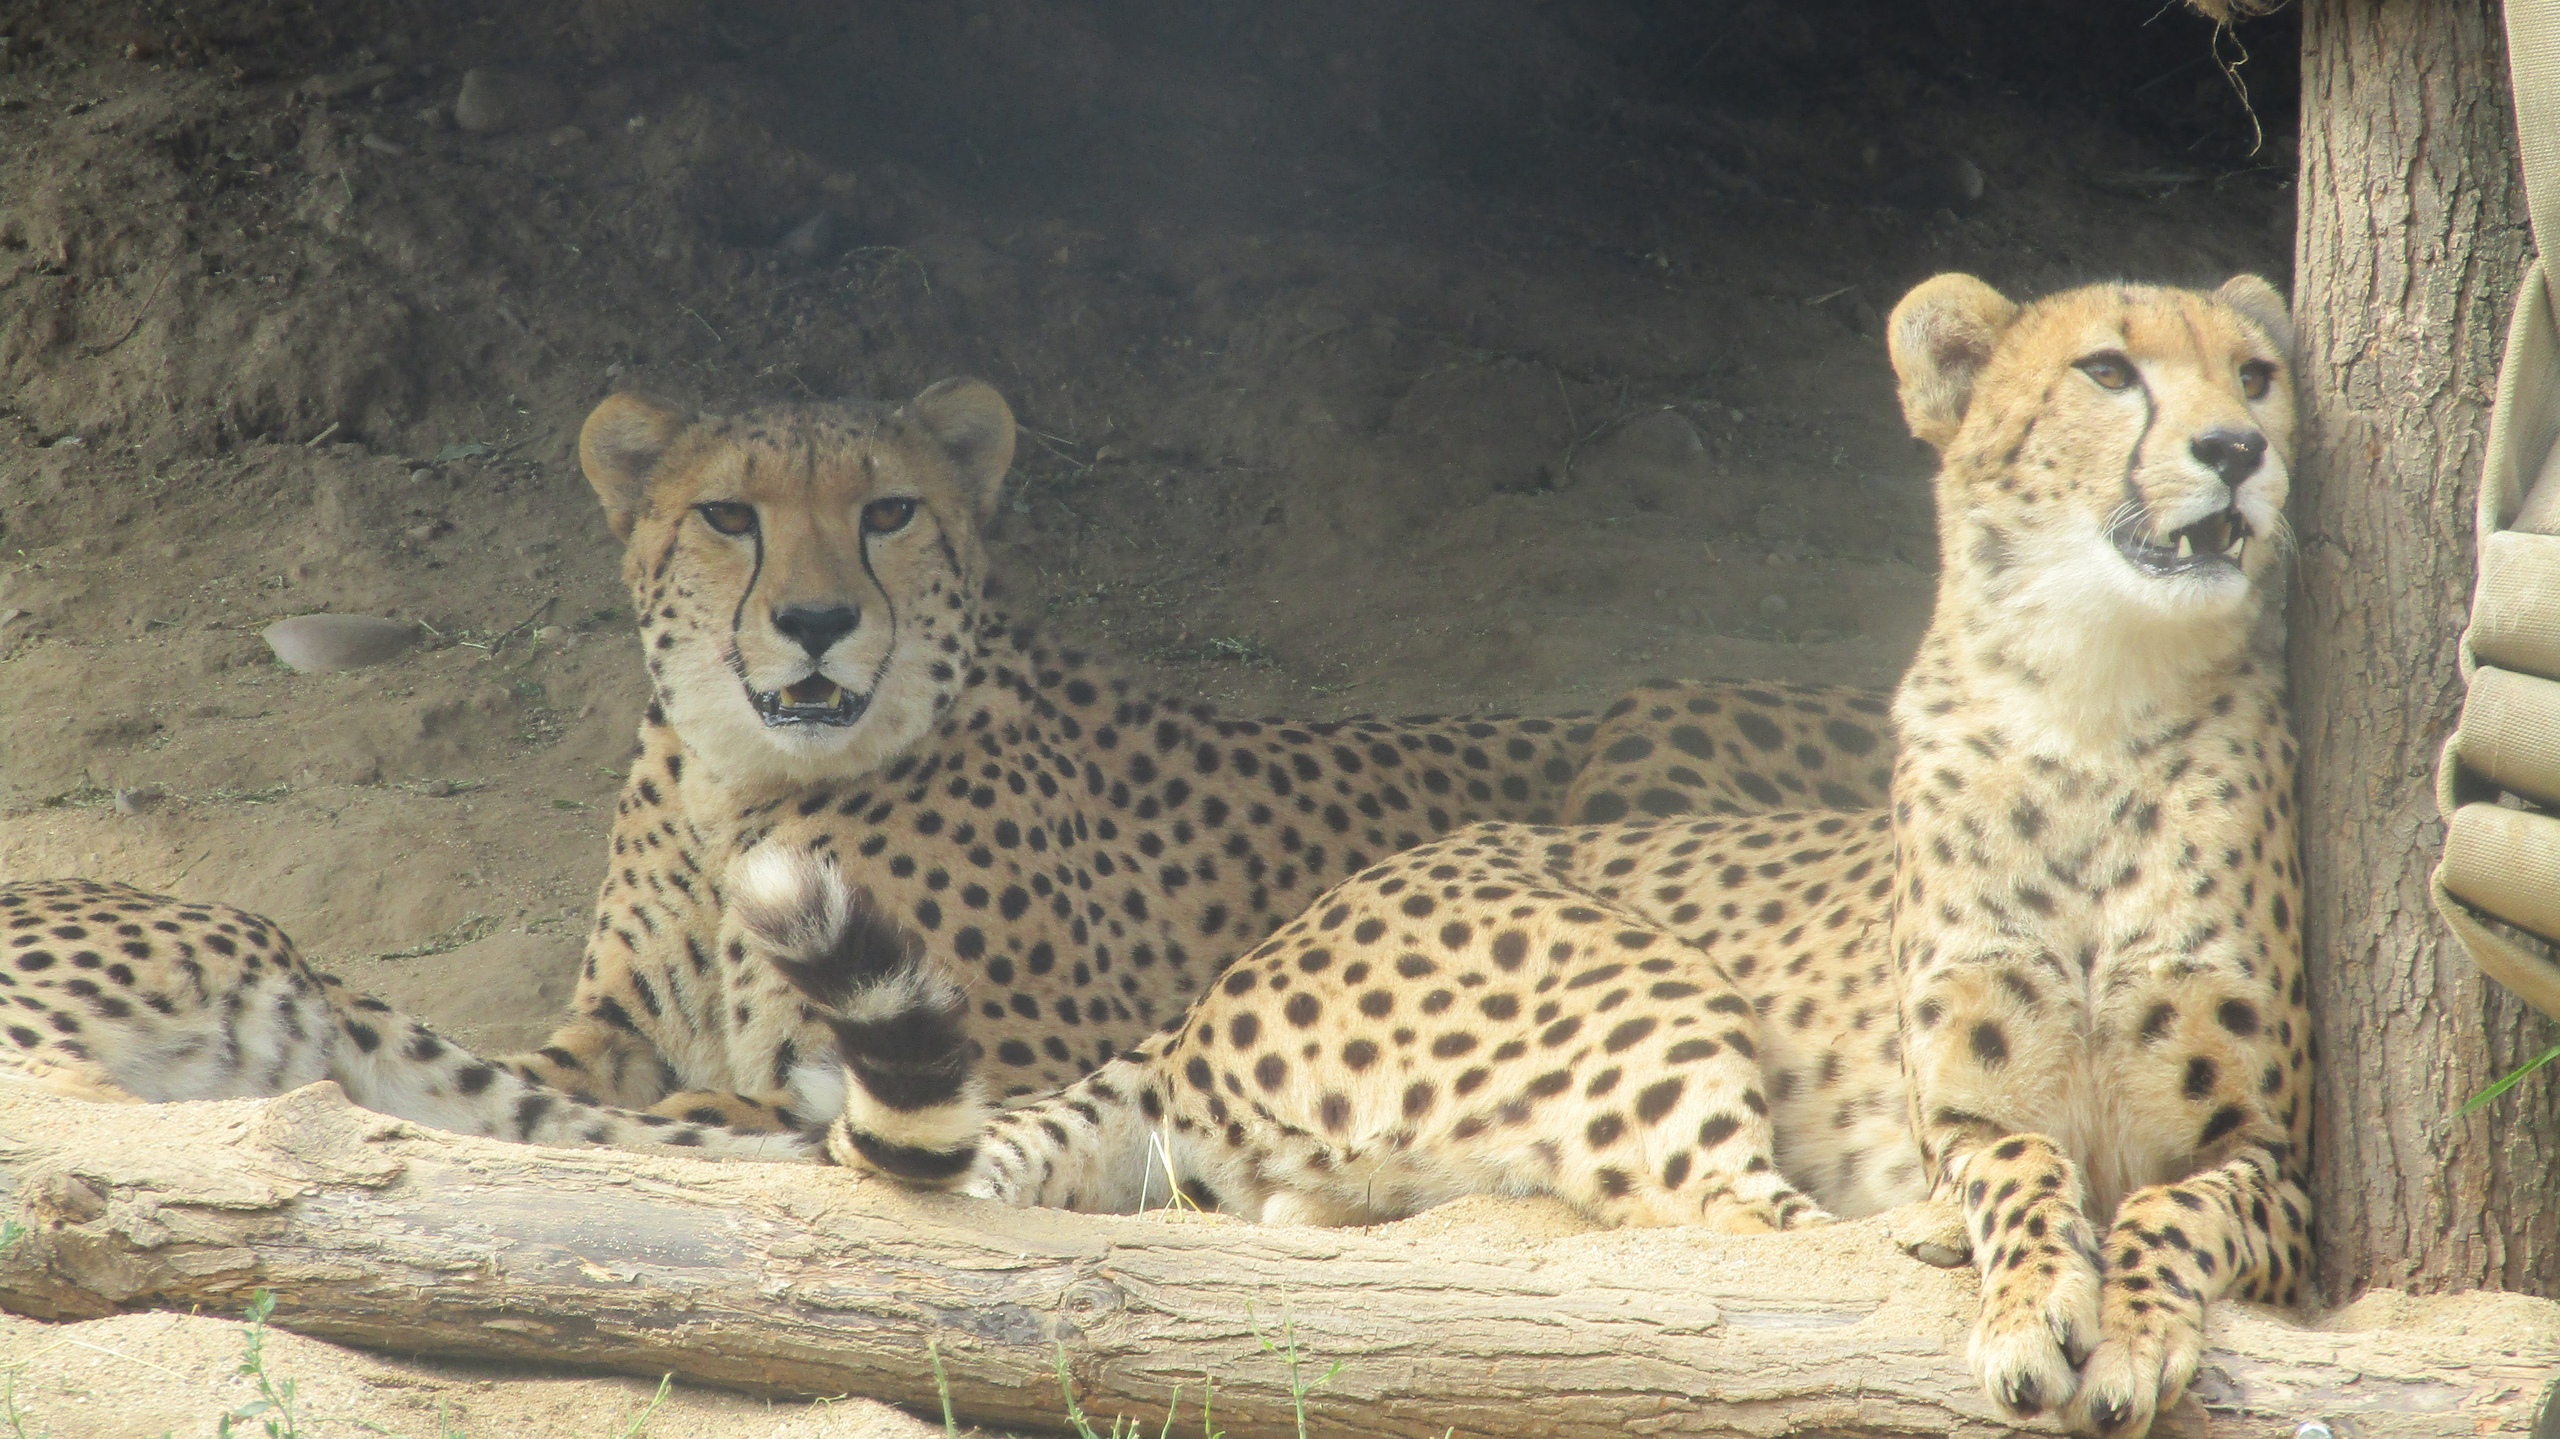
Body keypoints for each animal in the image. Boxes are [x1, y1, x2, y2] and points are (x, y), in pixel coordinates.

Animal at [768, 271, 2314, 1433]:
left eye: (2256, 375)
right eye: (2109, 370)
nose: (2239, 451)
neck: (2096, 704)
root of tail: (1229, 974)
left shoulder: (2283, 1160)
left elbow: (2176, 1204)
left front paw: (2131, 1327)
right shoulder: (1980, 1117)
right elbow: (2022, 1173)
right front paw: (2030, 1293)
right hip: (1640, 988)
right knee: (1740, 1212)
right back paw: (1919, 1231)